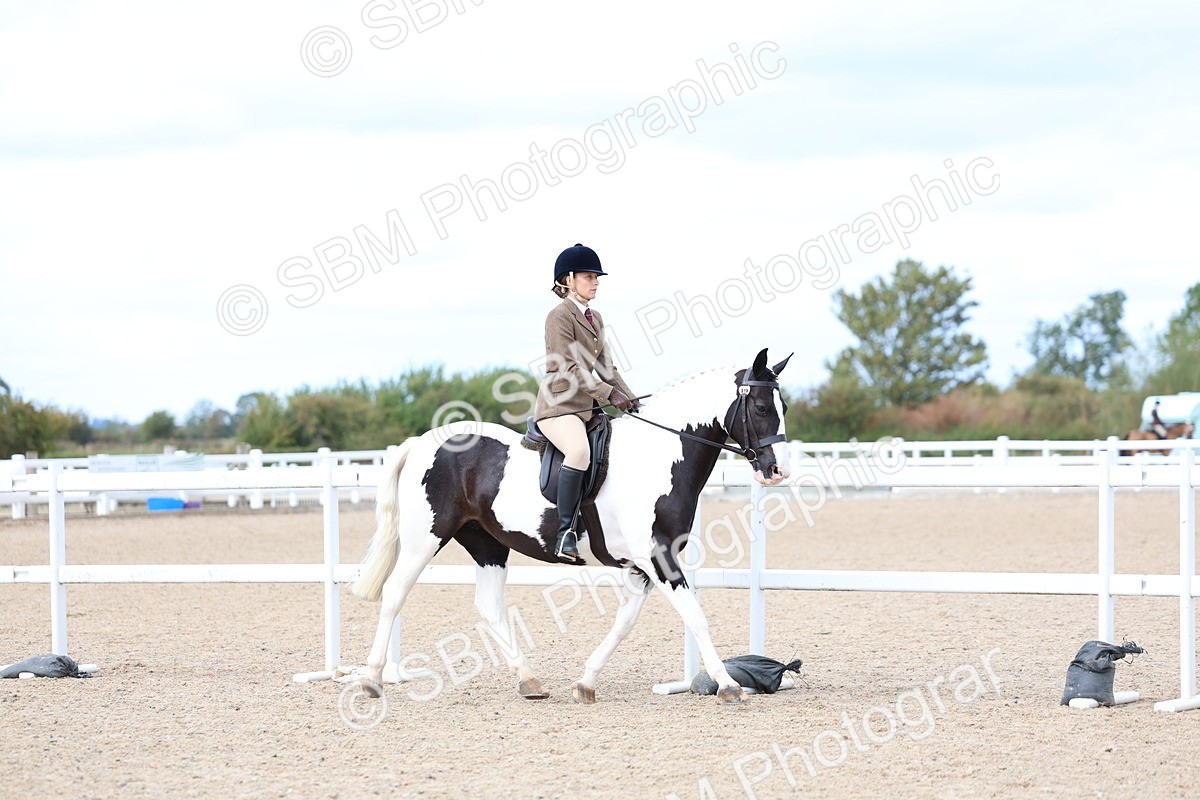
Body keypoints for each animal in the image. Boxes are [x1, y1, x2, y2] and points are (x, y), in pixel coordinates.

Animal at [351, 348, 793, 705]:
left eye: (783, 406)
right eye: (761, 408)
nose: (778, 471)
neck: (660, 456)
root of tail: (422, 443)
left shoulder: (642, 565)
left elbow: (624, 623)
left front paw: (586, 682)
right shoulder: (658, 556)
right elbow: (695, 616)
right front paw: (728, 685)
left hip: (487, 543)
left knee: (489, 606)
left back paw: (529, 681)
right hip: (425, 538)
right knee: (394, 593)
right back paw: (371, 679)